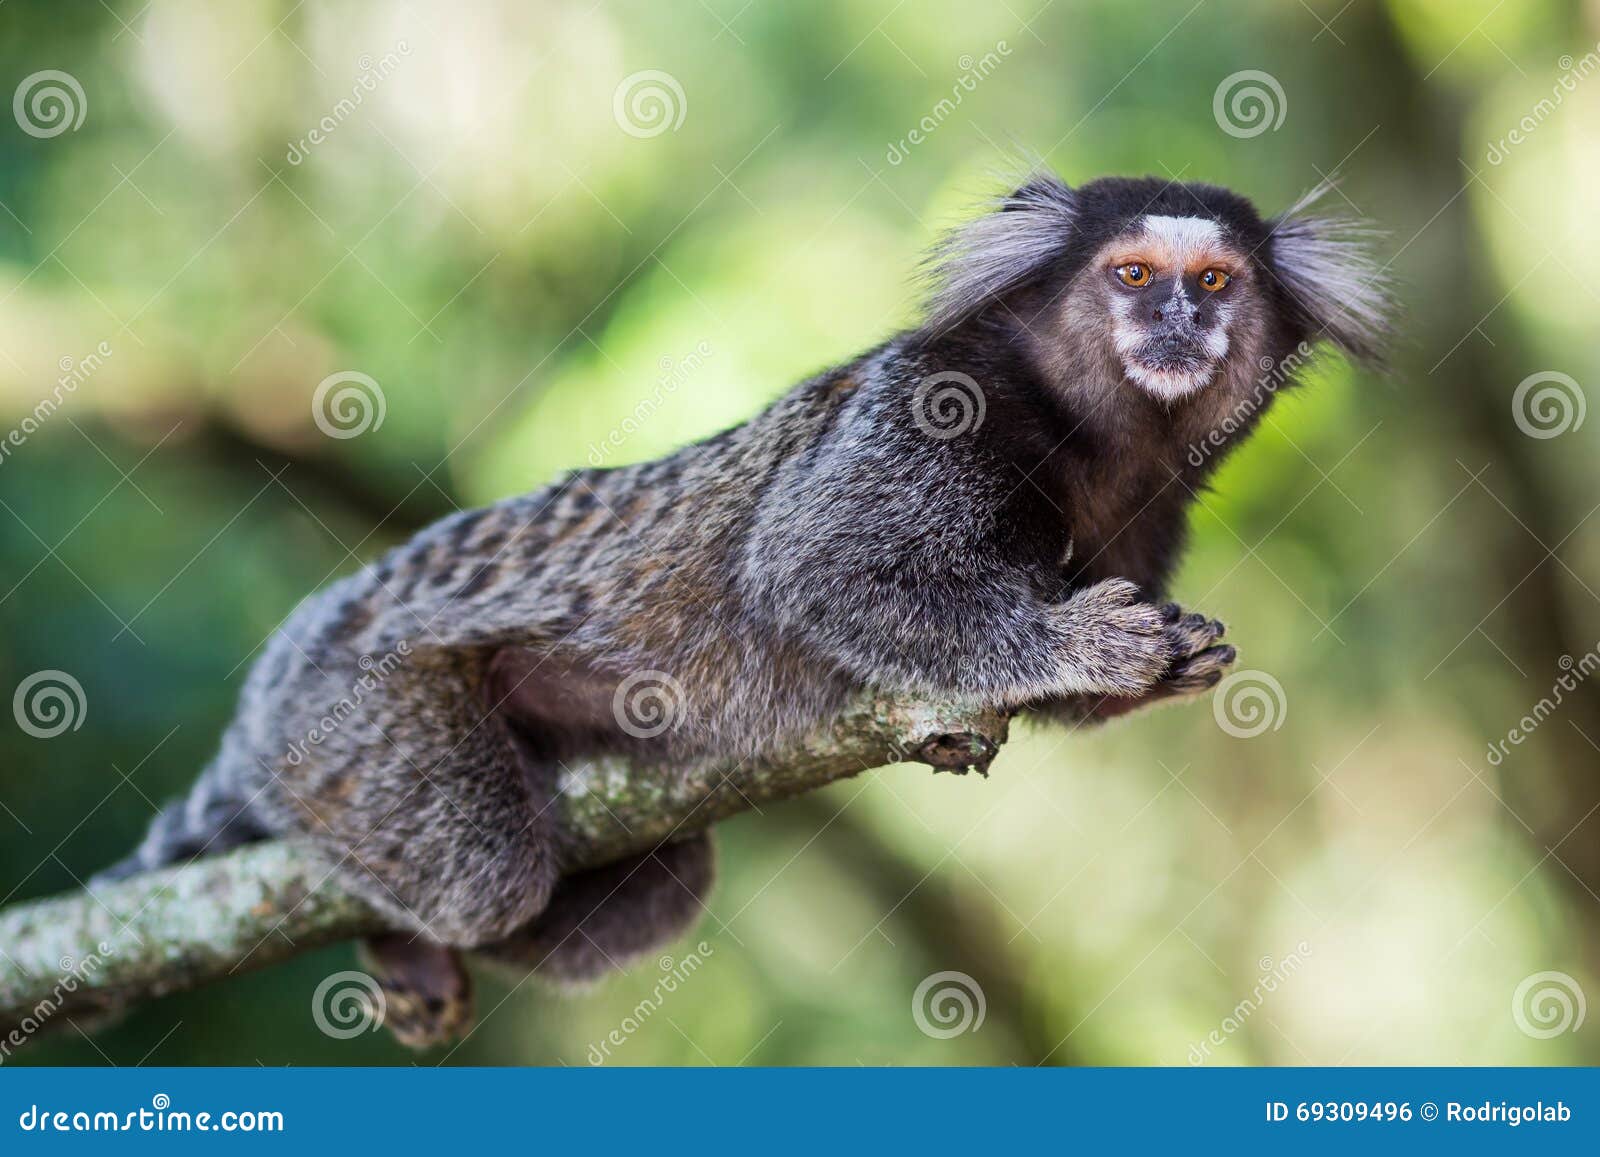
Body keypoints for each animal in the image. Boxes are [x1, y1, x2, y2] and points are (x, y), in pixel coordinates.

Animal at [100, 174, 1388, 1049]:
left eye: (1213, 282)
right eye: (1131, 275)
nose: (1175, 323)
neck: (1091, 434)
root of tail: (291, 661)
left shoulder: (1149, 510)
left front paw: (1161, 662)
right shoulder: (928, 410)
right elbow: (816, 570)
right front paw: (1083, 646)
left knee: (653, 884)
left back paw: (405, 946)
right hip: (354, 714)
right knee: (481, 871)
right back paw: (399, 909)